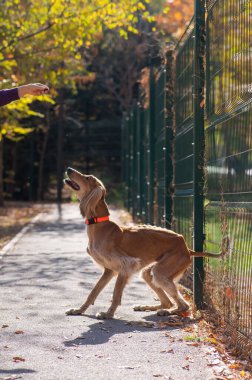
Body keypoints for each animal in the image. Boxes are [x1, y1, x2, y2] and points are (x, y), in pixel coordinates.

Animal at [64, 168, 227, 320]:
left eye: (87, 177)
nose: (69, 169)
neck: (99, 225)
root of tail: (187, 248)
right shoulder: (109, 270)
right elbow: (93, 292)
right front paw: (79, 310)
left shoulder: (126, 265)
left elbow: (116, 294)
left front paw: (108, 314)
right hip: (149, 273)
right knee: (167, 301)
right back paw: (147, 307)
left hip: (161, 272)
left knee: (184, 305)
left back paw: (167, 312)